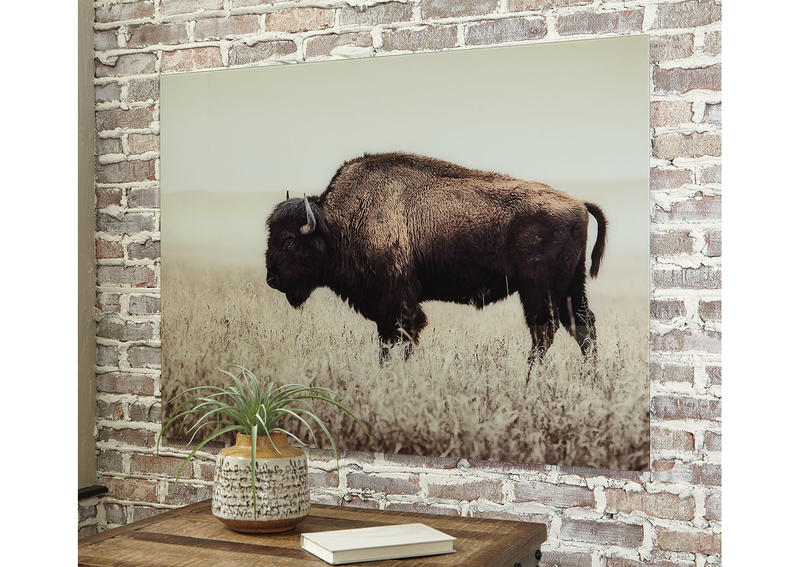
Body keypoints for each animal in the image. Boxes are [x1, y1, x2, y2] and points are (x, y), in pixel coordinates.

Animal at [265, 152, 606, 366]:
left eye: (290, 241)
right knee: (582, 327)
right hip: (570, 287)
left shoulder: (399, 302)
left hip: (538, 290)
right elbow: (386, 342)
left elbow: (403, 336)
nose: (272, 279)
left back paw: (531, 377)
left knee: (544, 332)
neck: (336, 224)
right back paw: (589, 379)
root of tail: (578, 202)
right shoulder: (384, 308)